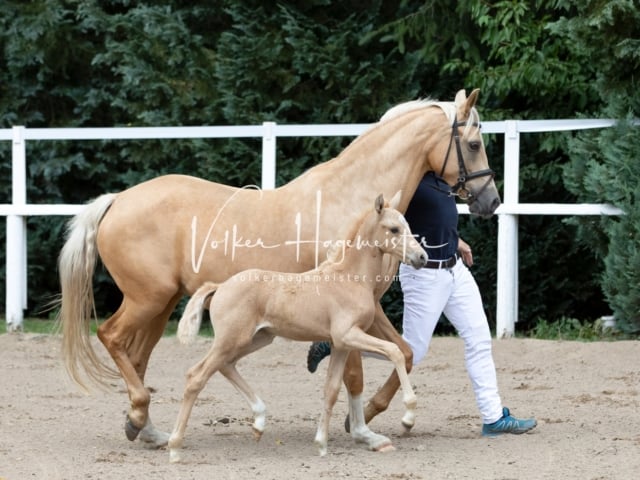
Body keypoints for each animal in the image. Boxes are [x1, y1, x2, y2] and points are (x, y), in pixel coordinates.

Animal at [170, 191, 428, 462]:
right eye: (394, 229)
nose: (422, 257)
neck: (349, 278)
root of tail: (219, 286)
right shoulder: (348, 335)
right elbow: (395, 351)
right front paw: (409, 414)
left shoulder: (341, 344)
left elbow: (331, 389)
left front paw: (321, 444)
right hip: (231, 340)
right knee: (196, 376)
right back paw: (175, 448)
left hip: (257, 339)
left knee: (226, 366)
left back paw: (259, 421)